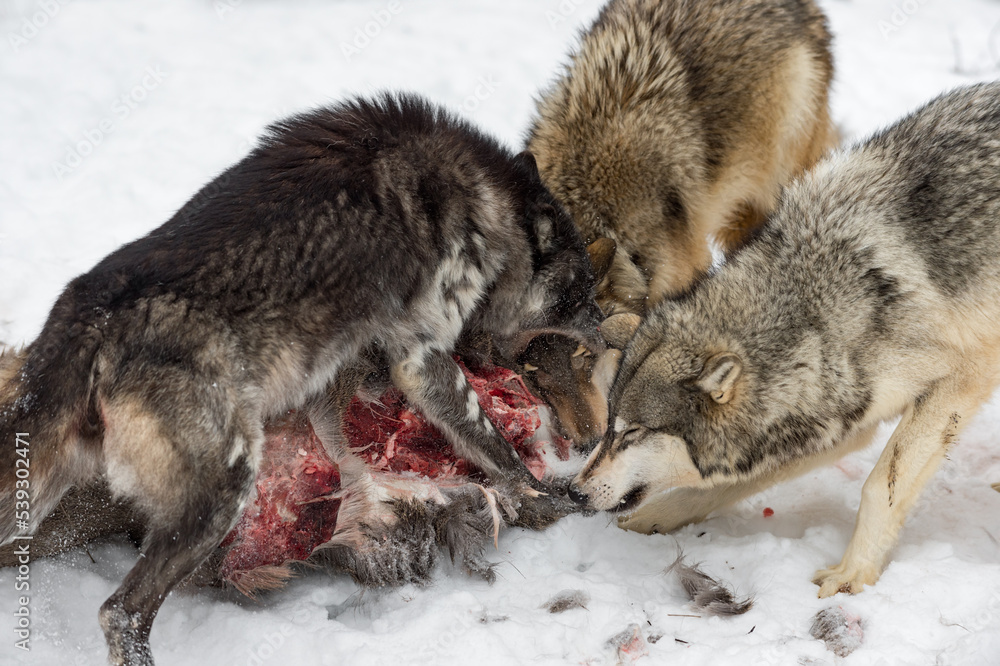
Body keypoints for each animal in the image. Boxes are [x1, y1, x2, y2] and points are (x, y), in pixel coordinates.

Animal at [0, 93, 603, 665]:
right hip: (224, 488)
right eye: (582, 288)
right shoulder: (423, 357)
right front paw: (546, 496)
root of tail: (88, 319)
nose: (605, 329)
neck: (481, 194)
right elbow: (495, 446)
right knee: (120, 613)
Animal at [569, 82, 1000, 597]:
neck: (817, 311)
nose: (572, 491)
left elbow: (880, 486)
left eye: (634, 432)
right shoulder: (832, 422)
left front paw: (853, 573)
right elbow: (716, 485)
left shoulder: (958, 382)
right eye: (609, 426)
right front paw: (654, 519)